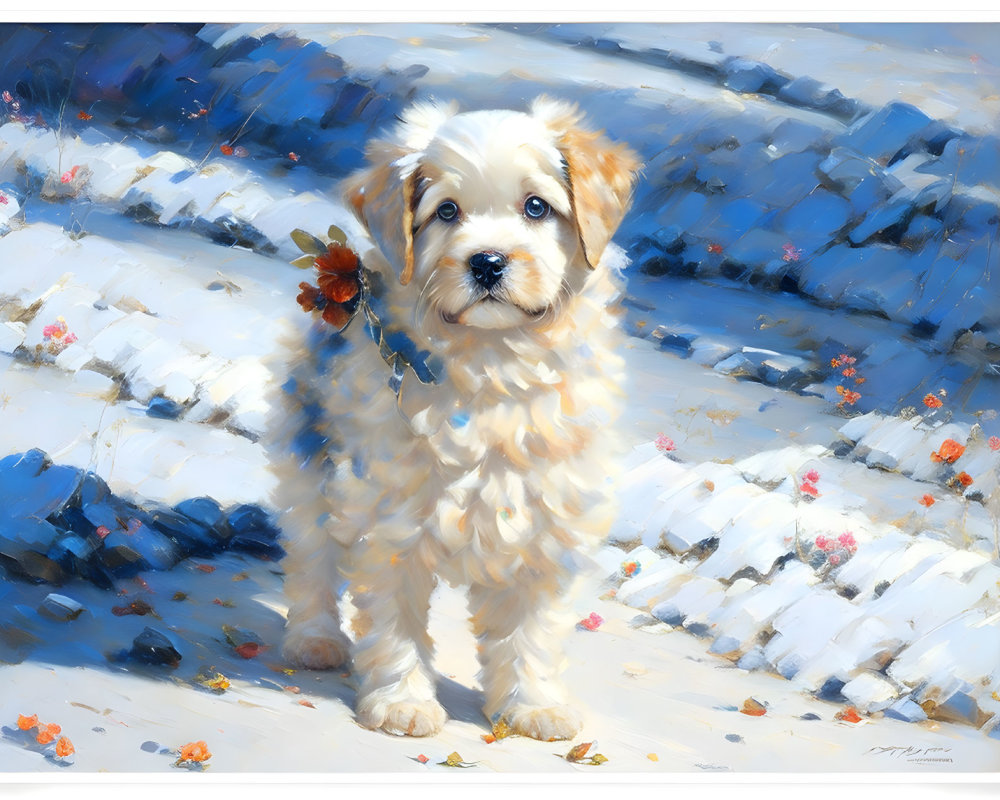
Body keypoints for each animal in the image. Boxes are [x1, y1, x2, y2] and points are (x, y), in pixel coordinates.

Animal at [268, 97, 640, 740]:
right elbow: (394, 619)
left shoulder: (548, 518)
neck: (492, 359)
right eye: (446, 211)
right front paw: (403, 702)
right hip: (307, 457)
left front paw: (533, 705)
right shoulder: (390, 517)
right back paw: (314, 640)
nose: (487, 262)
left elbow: (532, 628)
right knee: (311, 556)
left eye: (536, 206)